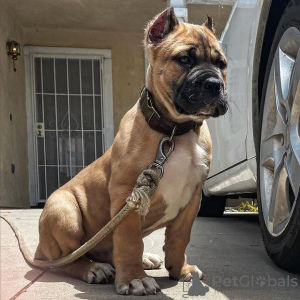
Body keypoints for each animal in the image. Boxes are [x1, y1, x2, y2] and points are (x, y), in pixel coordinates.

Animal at [35, 7, 227, 296]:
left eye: (222, 64)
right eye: (183, 59)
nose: (214, 83)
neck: (175, 131)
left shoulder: (192, 199)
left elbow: (180, 237)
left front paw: (180, 269)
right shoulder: (129, 195)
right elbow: (129, 241)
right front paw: (135, 279)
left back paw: (144, 260)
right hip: (64, 211)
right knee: (67, 260)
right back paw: (93, 269)